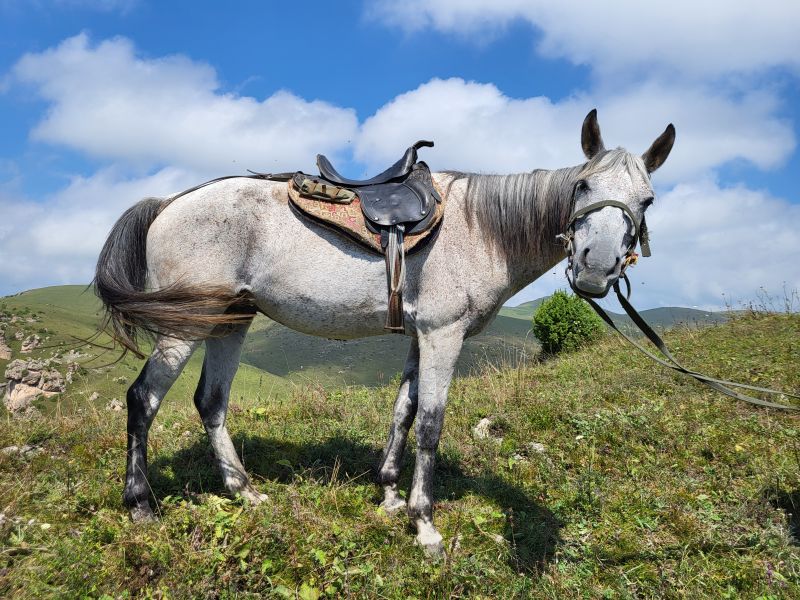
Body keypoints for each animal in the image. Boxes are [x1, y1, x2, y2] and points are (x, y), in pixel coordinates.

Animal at [98, 110, 676, 556]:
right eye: (582, 185)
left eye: (647, 201)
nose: (596, 269)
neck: (481, 229)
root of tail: (167, 202)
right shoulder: (444, 335)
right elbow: (431, 425)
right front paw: (425, 525)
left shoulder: (422, 336)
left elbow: (403, 410)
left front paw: (390, 496)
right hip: (186, 326)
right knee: (144, 398)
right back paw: (141, 504)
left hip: (229, 320)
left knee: (210, 402)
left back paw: (245, 493)